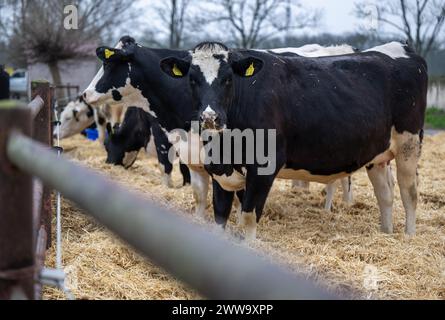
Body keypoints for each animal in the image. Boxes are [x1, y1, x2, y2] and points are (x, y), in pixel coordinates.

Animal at [160, 41, 426, 239]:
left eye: (228, 78)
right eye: (192, 79)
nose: (209, 117)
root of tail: (401, 47)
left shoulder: (264, 168)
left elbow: (248, 218)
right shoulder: (220, 171)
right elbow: (220, 217)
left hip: (409, 145)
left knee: (409, 193)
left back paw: (408, 237)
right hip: (377, 155)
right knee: (385, 194)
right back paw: (386, 233)